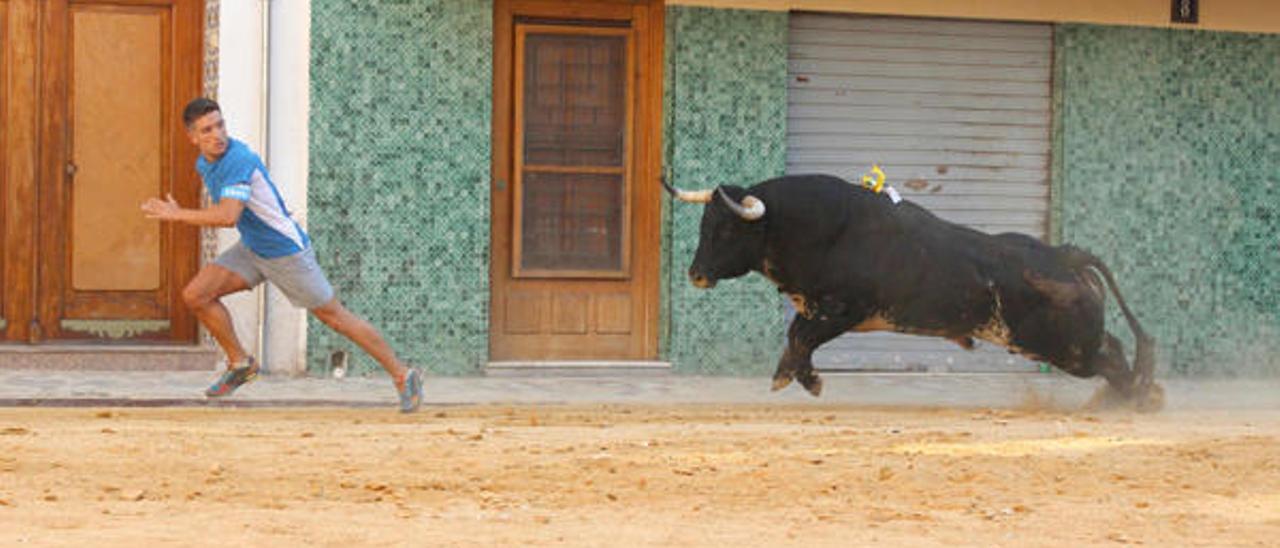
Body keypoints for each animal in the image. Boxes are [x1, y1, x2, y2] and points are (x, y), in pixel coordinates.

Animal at [665, 172, 1167, 409]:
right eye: (705, 225)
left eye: (727, 230)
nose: (696, 274)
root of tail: (1064, 255)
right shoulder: (817, 309)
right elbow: (795, 337)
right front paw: (788, 375)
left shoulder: (844, 310)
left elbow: (801, 338)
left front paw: (806, 380)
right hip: (1065, 344)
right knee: (1115, 349)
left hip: (1063, 348)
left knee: (1111, 359)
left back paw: (1133, 400)